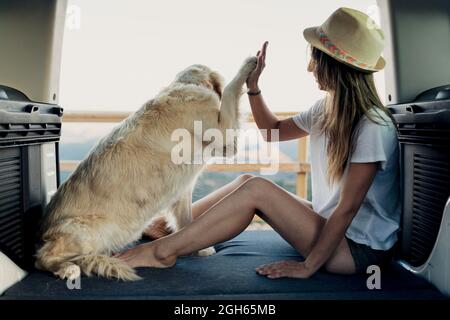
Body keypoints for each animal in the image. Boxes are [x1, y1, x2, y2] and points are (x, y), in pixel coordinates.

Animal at [36, 57, 256, 280]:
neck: (185, 84)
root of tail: (42, 230)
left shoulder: (184, 189)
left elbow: (188, 222)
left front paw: (200, 248)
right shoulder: (222, 130)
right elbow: (230, 90)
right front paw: (249, 65)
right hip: (93, 228)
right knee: (42, 258)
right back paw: (69, 268)